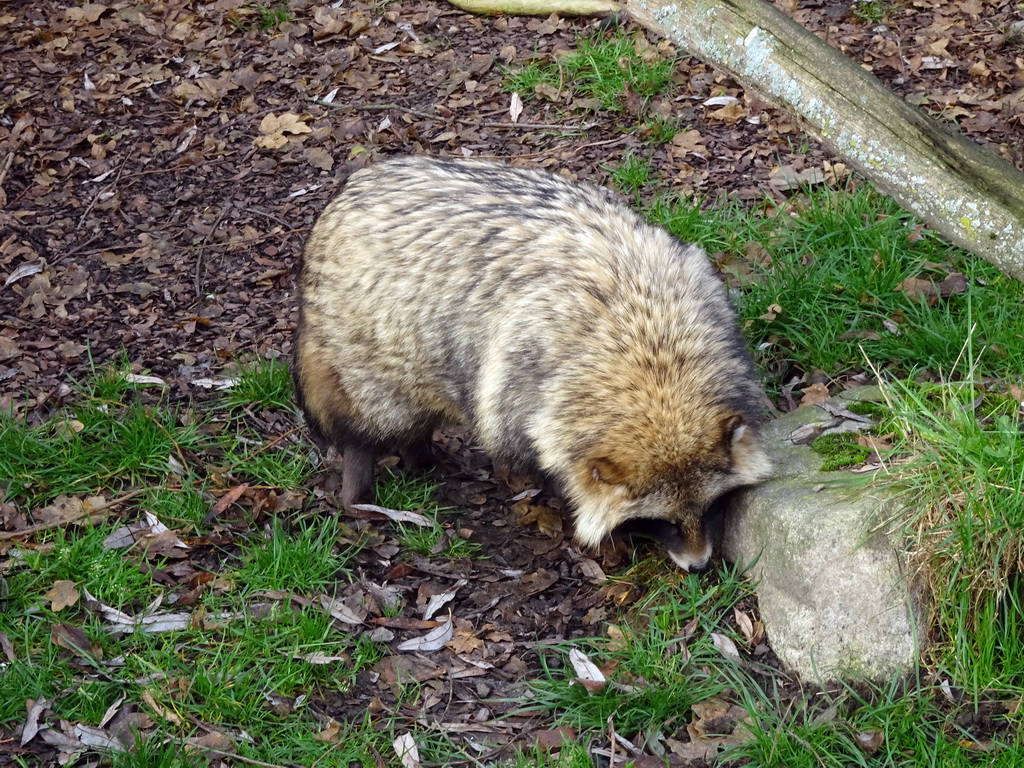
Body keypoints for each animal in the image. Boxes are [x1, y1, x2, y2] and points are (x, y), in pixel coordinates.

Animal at [288, 156, 770, 573]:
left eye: (710, 507)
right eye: (661, 521)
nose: (699, 565)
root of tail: (349, 191)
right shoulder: (520, 384)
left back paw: (420, 457)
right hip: (375, 357)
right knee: (374, 421)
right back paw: (363, 485)